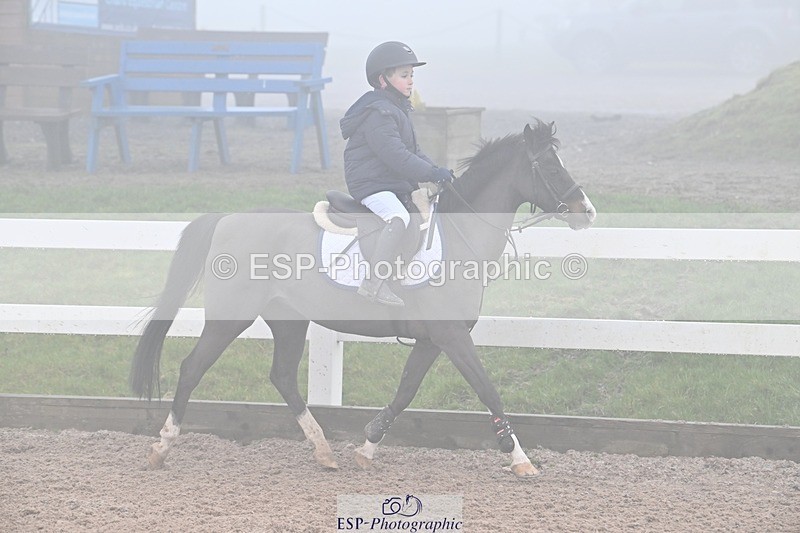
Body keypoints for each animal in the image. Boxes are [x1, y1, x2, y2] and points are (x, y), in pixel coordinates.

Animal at [130, 118, 596, 478]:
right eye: (550, 167)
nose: (587, 211)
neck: (459, 237)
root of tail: (227, 218)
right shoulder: (452, 337)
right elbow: (487, 390)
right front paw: (520, 459)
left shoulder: (432, 341)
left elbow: (405, 392)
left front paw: (368, 447)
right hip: (232, 317)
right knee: (192, 368)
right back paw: (162, 447)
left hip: (289, 319)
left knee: (283, 377)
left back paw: (323, 451)